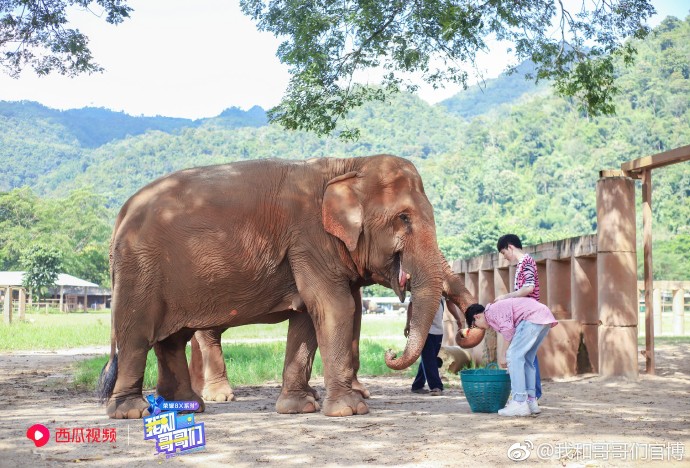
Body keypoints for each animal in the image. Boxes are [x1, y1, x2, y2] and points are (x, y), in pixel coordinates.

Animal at [97, 155, 448, 418]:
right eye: (404, 218)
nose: (391, 350)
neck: (347, 165)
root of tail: (122, 212)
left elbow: (307, 316)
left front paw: (299, 407)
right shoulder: (309, 239)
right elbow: (335, 307)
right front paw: (350, 410)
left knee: (171, 339)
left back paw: (185, 408)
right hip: (139, 269)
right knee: (137, 334)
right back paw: (133, 411)